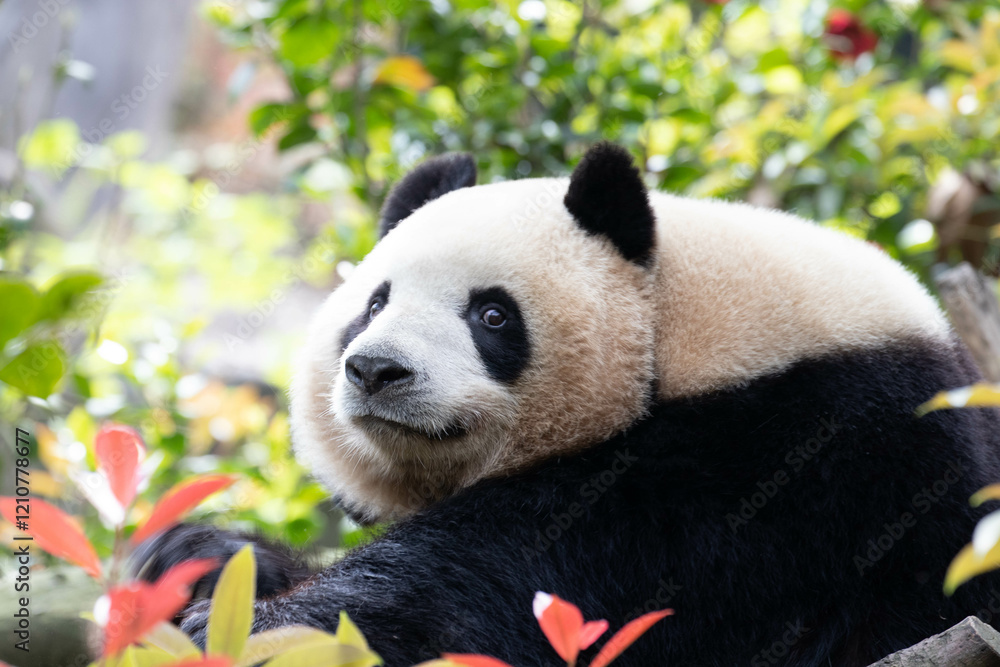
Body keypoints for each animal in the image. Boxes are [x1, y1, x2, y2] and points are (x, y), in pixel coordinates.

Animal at [134, 143, 1000, 667]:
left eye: (491, 314)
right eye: (374, 303)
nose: (376, 369)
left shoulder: (787, 461)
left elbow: (515, 584)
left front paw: (277, 626)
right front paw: (202, 557)